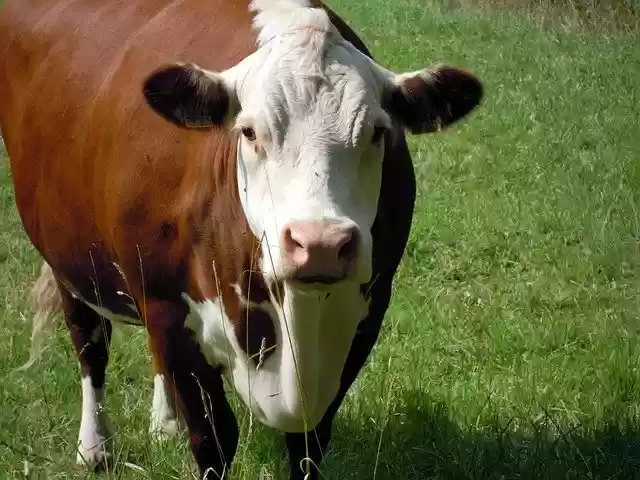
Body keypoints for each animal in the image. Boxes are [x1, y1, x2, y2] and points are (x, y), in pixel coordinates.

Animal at [0, 0, 482, 478]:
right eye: (249, 132)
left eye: (378, 132)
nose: (321, 244)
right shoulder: (166, 308)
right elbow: (212, 440)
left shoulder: (366, 315)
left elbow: (309, 443)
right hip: (68, 255)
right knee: (90, 343)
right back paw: (94, 447)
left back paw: (163, 422)